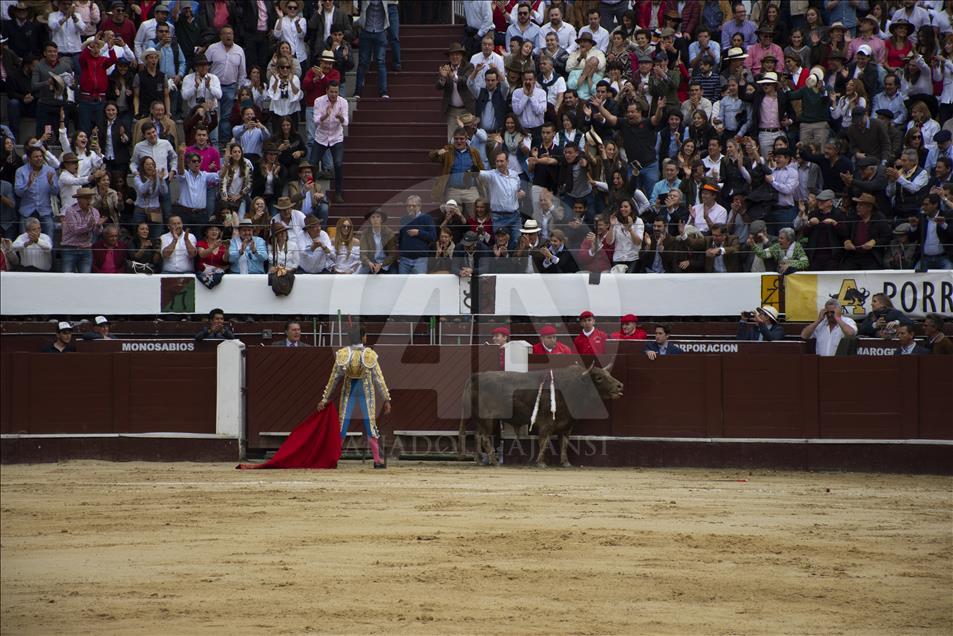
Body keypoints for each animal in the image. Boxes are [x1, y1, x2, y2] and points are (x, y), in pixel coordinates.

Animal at [456, 362, 620, 468]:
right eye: (599, 378)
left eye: (609, 374)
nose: (620, 386)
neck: (573, 386)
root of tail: (476, 376)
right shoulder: (547, 423)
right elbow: (545, 441)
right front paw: (541, 463)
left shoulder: (567, 425)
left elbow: (564, 443)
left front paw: (566, 463)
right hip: (487, 418)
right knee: (484, 438)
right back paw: (495, 462)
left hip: (480, 419)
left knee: (477, 436)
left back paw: (478, 460)